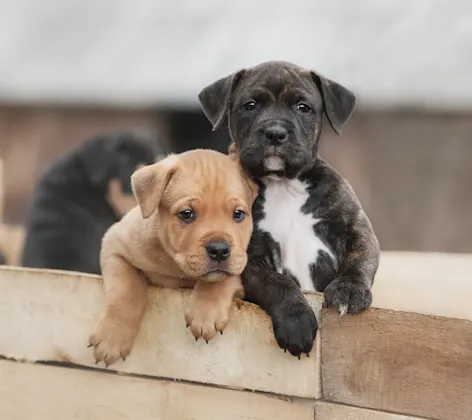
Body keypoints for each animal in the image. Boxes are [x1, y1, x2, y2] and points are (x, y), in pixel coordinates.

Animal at [88, 149, 258, 366]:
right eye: (186, 214)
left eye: (238, 214)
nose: (219, 250)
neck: (178, 268)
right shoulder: (115, 246)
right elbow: (126, 292)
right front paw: (112, 337)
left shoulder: (242, 265)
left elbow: (221, 278)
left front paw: (205, 311)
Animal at [198, 61, 380, 358]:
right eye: (250, 105)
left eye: (303, 107)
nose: (275, 132)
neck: (283, 184)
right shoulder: (249, 258)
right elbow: (277, 283)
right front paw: (297, 321)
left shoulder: (356, 228)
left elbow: (359, 259)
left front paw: (349, 290)